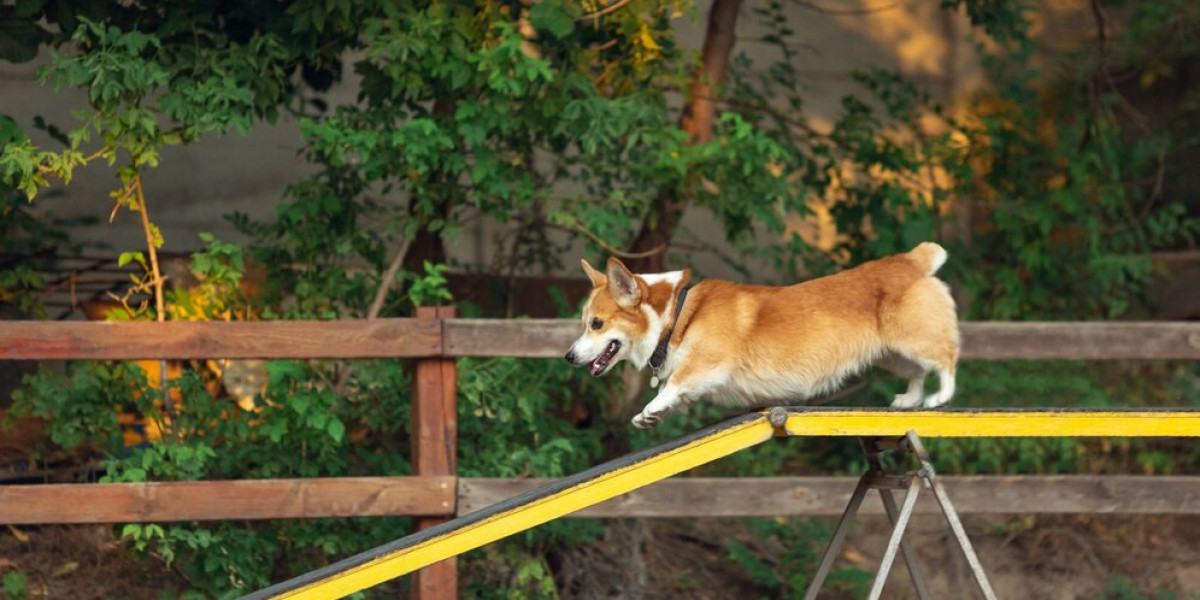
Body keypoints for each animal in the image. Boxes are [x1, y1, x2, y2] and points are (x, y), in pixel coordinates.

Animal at [559, 241, 955, 429]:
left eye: (596, 324)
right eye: (586, 322)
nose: (568, 357)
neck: (676, 315)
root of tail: (914, 260)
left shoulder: (707, 364)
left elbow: (674, 383)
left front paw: (650, 408)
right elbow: (674, 394)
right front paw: (650, 417)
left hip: (913, 341)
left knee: (946, 359)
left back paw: (940, 398)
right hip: (892, 356)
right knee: (918, 374)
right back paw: (909, 400)